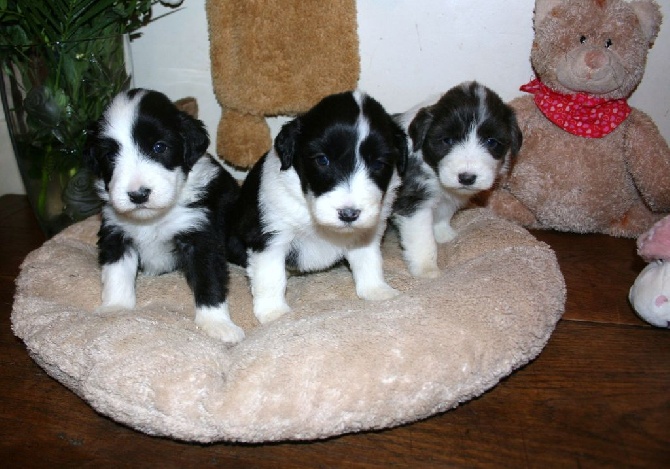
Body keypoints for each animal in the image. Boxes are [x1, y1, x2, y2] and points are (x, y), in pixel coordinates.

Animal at [83, 88, 245, 344]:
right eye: (109, 155)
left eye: (159, 147)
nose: (138, 195)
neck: (152, 219)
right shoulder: (116, 232)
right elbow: (116, 273)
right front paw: (116, 307)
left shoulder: (199, 235)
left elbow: (209, 280)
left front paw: (217, 324)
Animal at [228, 89, 410, 324]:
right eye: (323, 160)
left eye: (379, 164)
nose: (348, 214)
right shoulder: (270, 235)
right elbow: (270, 276)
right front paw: (274, 313)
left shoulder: (367, 231)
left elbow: (369, 260)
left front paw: (377, 291)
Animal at [394, 82, 524, 276]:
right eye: (447, 140)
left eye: (491, 142)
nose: (467, 178)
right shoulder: (414, 202)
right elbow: (422, 239)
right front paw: (427, 269)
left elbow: (443, 215)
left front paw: (443, 234)